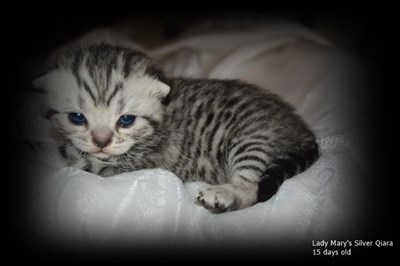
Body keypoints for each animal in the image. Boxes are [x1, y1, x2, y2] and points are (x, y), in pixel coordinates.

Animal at [32, 44, 318, 214]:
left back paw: (224, 194)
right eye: (77, 117)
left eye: (126, 120)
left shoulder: (134, 163)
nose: (101, 142)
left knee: (253, 189)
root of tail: (302, 129)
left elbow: (72, 158)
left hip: (252, 139)